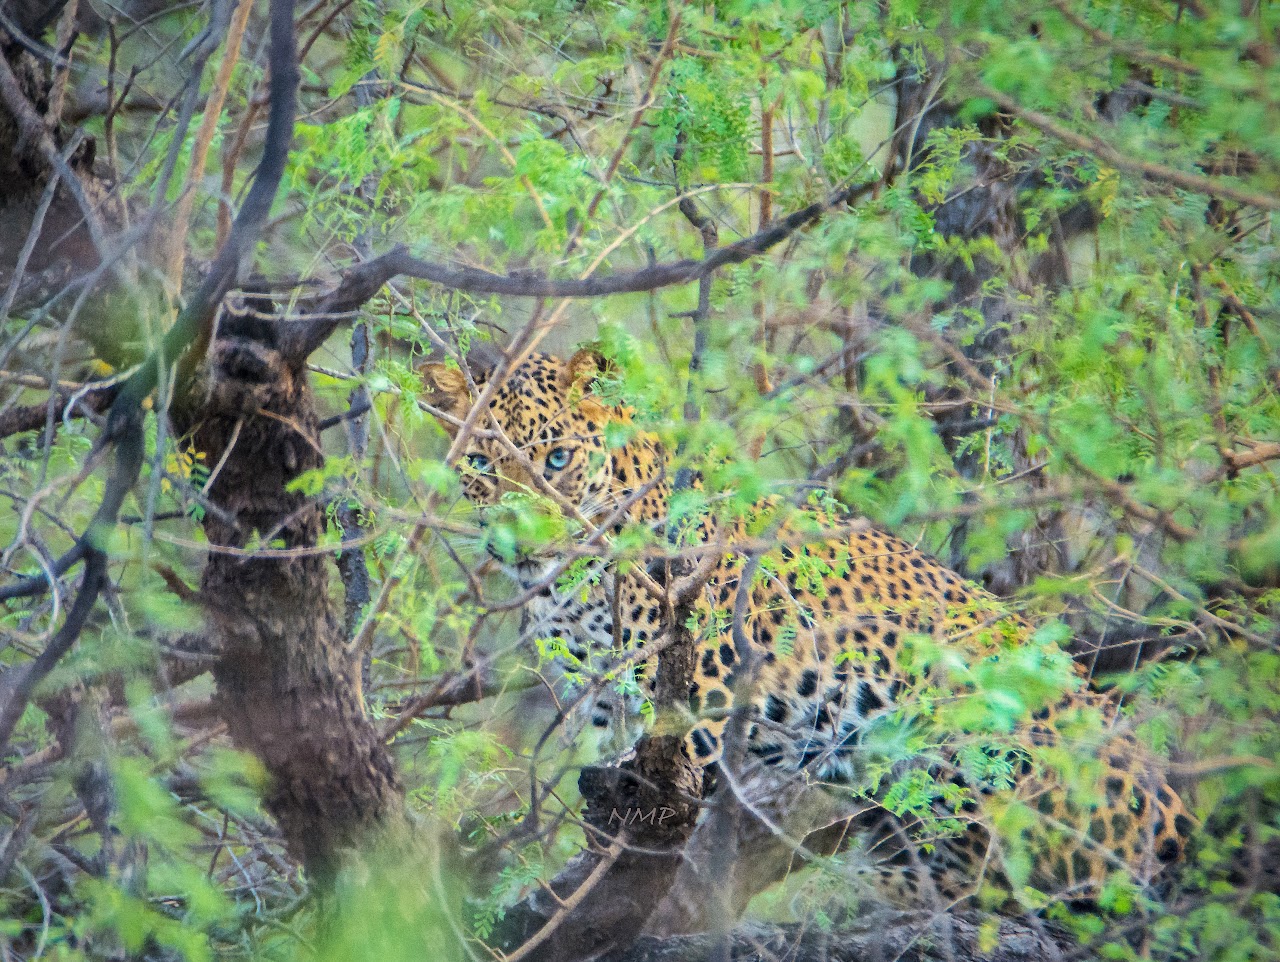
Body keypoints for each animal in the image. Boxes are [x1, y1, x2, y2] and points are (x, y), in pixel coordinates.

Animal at [421, 348, 1192, 907]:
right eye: (481, 464)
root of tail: (1174, 814)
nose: (522, 541)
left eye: (557, 459)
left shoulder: (700, 696)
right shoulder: (607, 706)